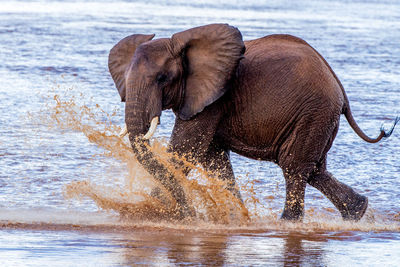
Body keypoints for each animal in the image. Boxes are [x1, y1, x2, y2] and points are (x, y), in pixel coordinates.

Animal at [107, 23, 396, 222]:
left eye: (162, 79)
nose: (191, 211)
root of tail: (339, 87)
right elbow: (213, 159)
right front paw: (234, 216)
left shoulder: (214, 98)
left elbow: (185, 148)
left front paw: (154, 212)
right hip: (320, 118)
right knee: (314, 169)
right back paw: (357, 212)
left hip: (314, 113)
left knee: (294, 166)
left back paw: (287, 223)